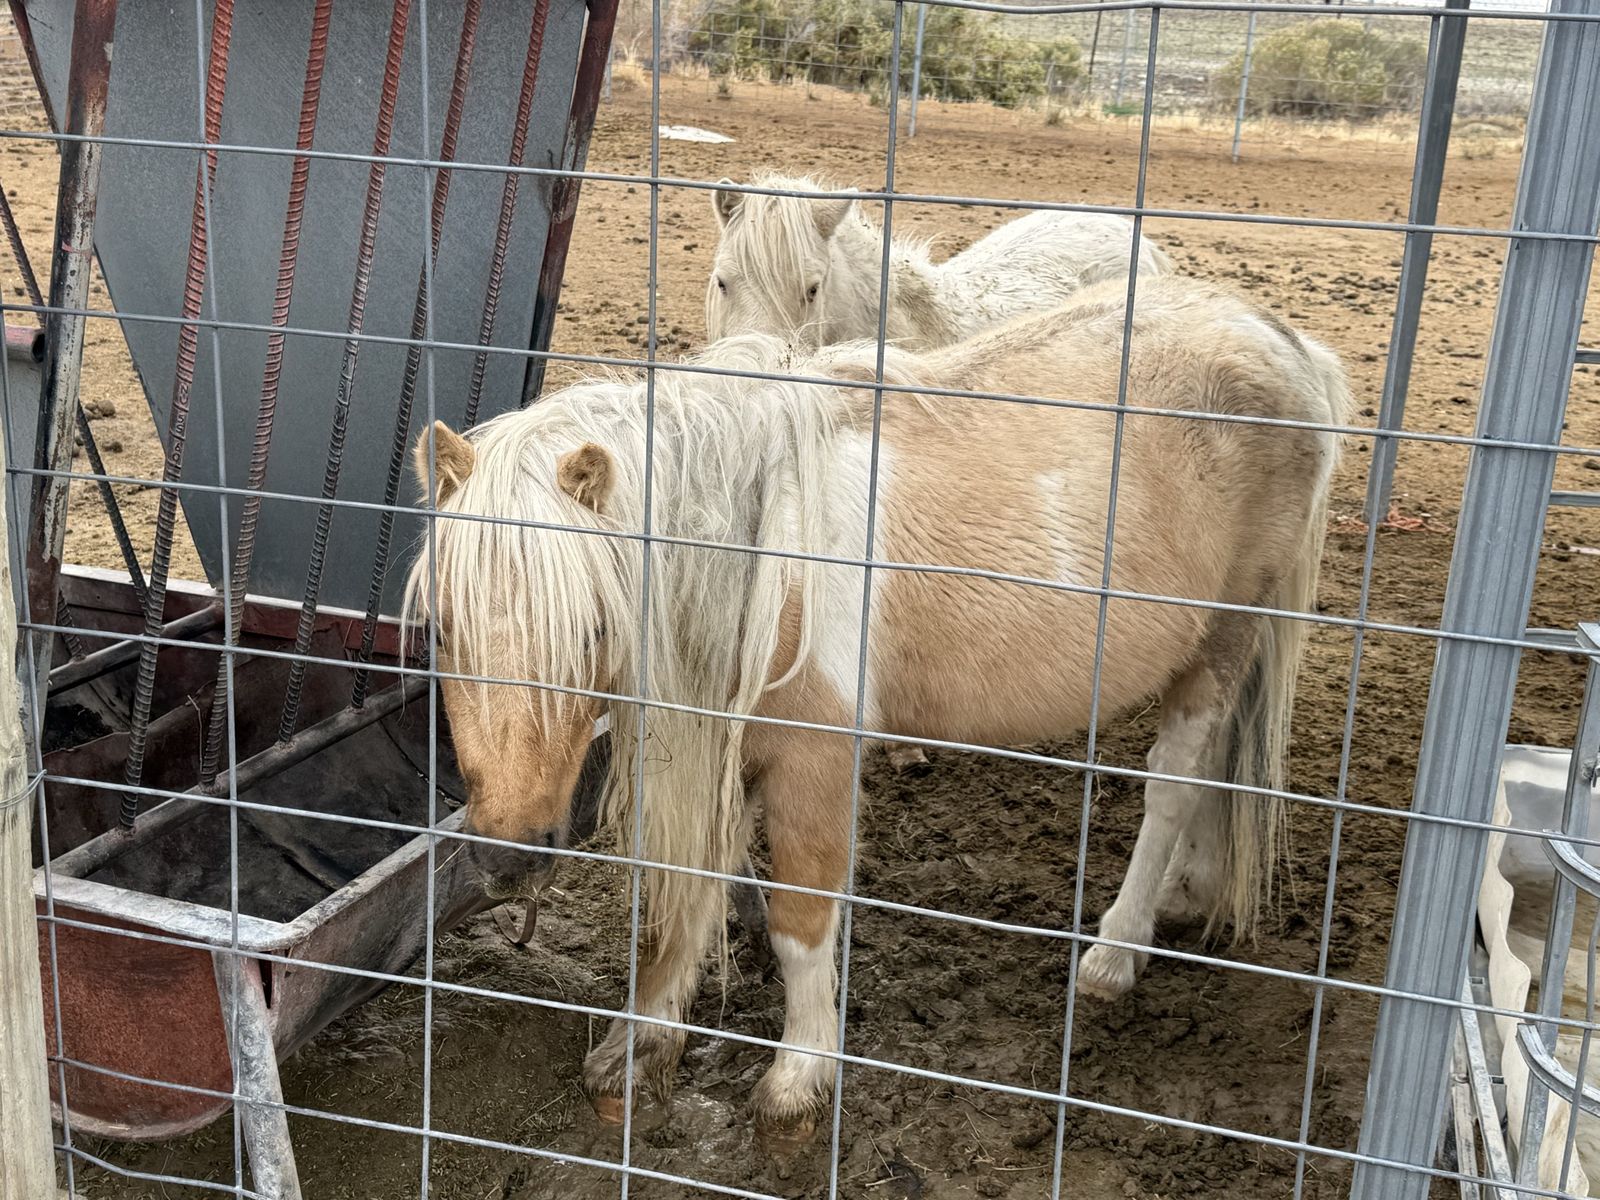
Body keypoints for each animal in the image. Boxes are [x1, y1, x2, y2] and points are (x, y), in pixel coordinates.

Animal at [404, 273, 1348, 1147]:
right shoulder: (713, 746)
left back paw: (1117, 953)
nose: (510, 855)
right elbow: (688, 896)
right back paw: (1190, 893)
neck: (764, 551)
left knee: (1176, 782)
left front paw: (798, 1076)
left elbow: (800, 923)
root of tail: (1279, 338)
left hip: (1224, 635)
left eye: (595, 626)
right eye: (441, 629)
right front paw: (639, 1045)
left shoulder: (814, 763)